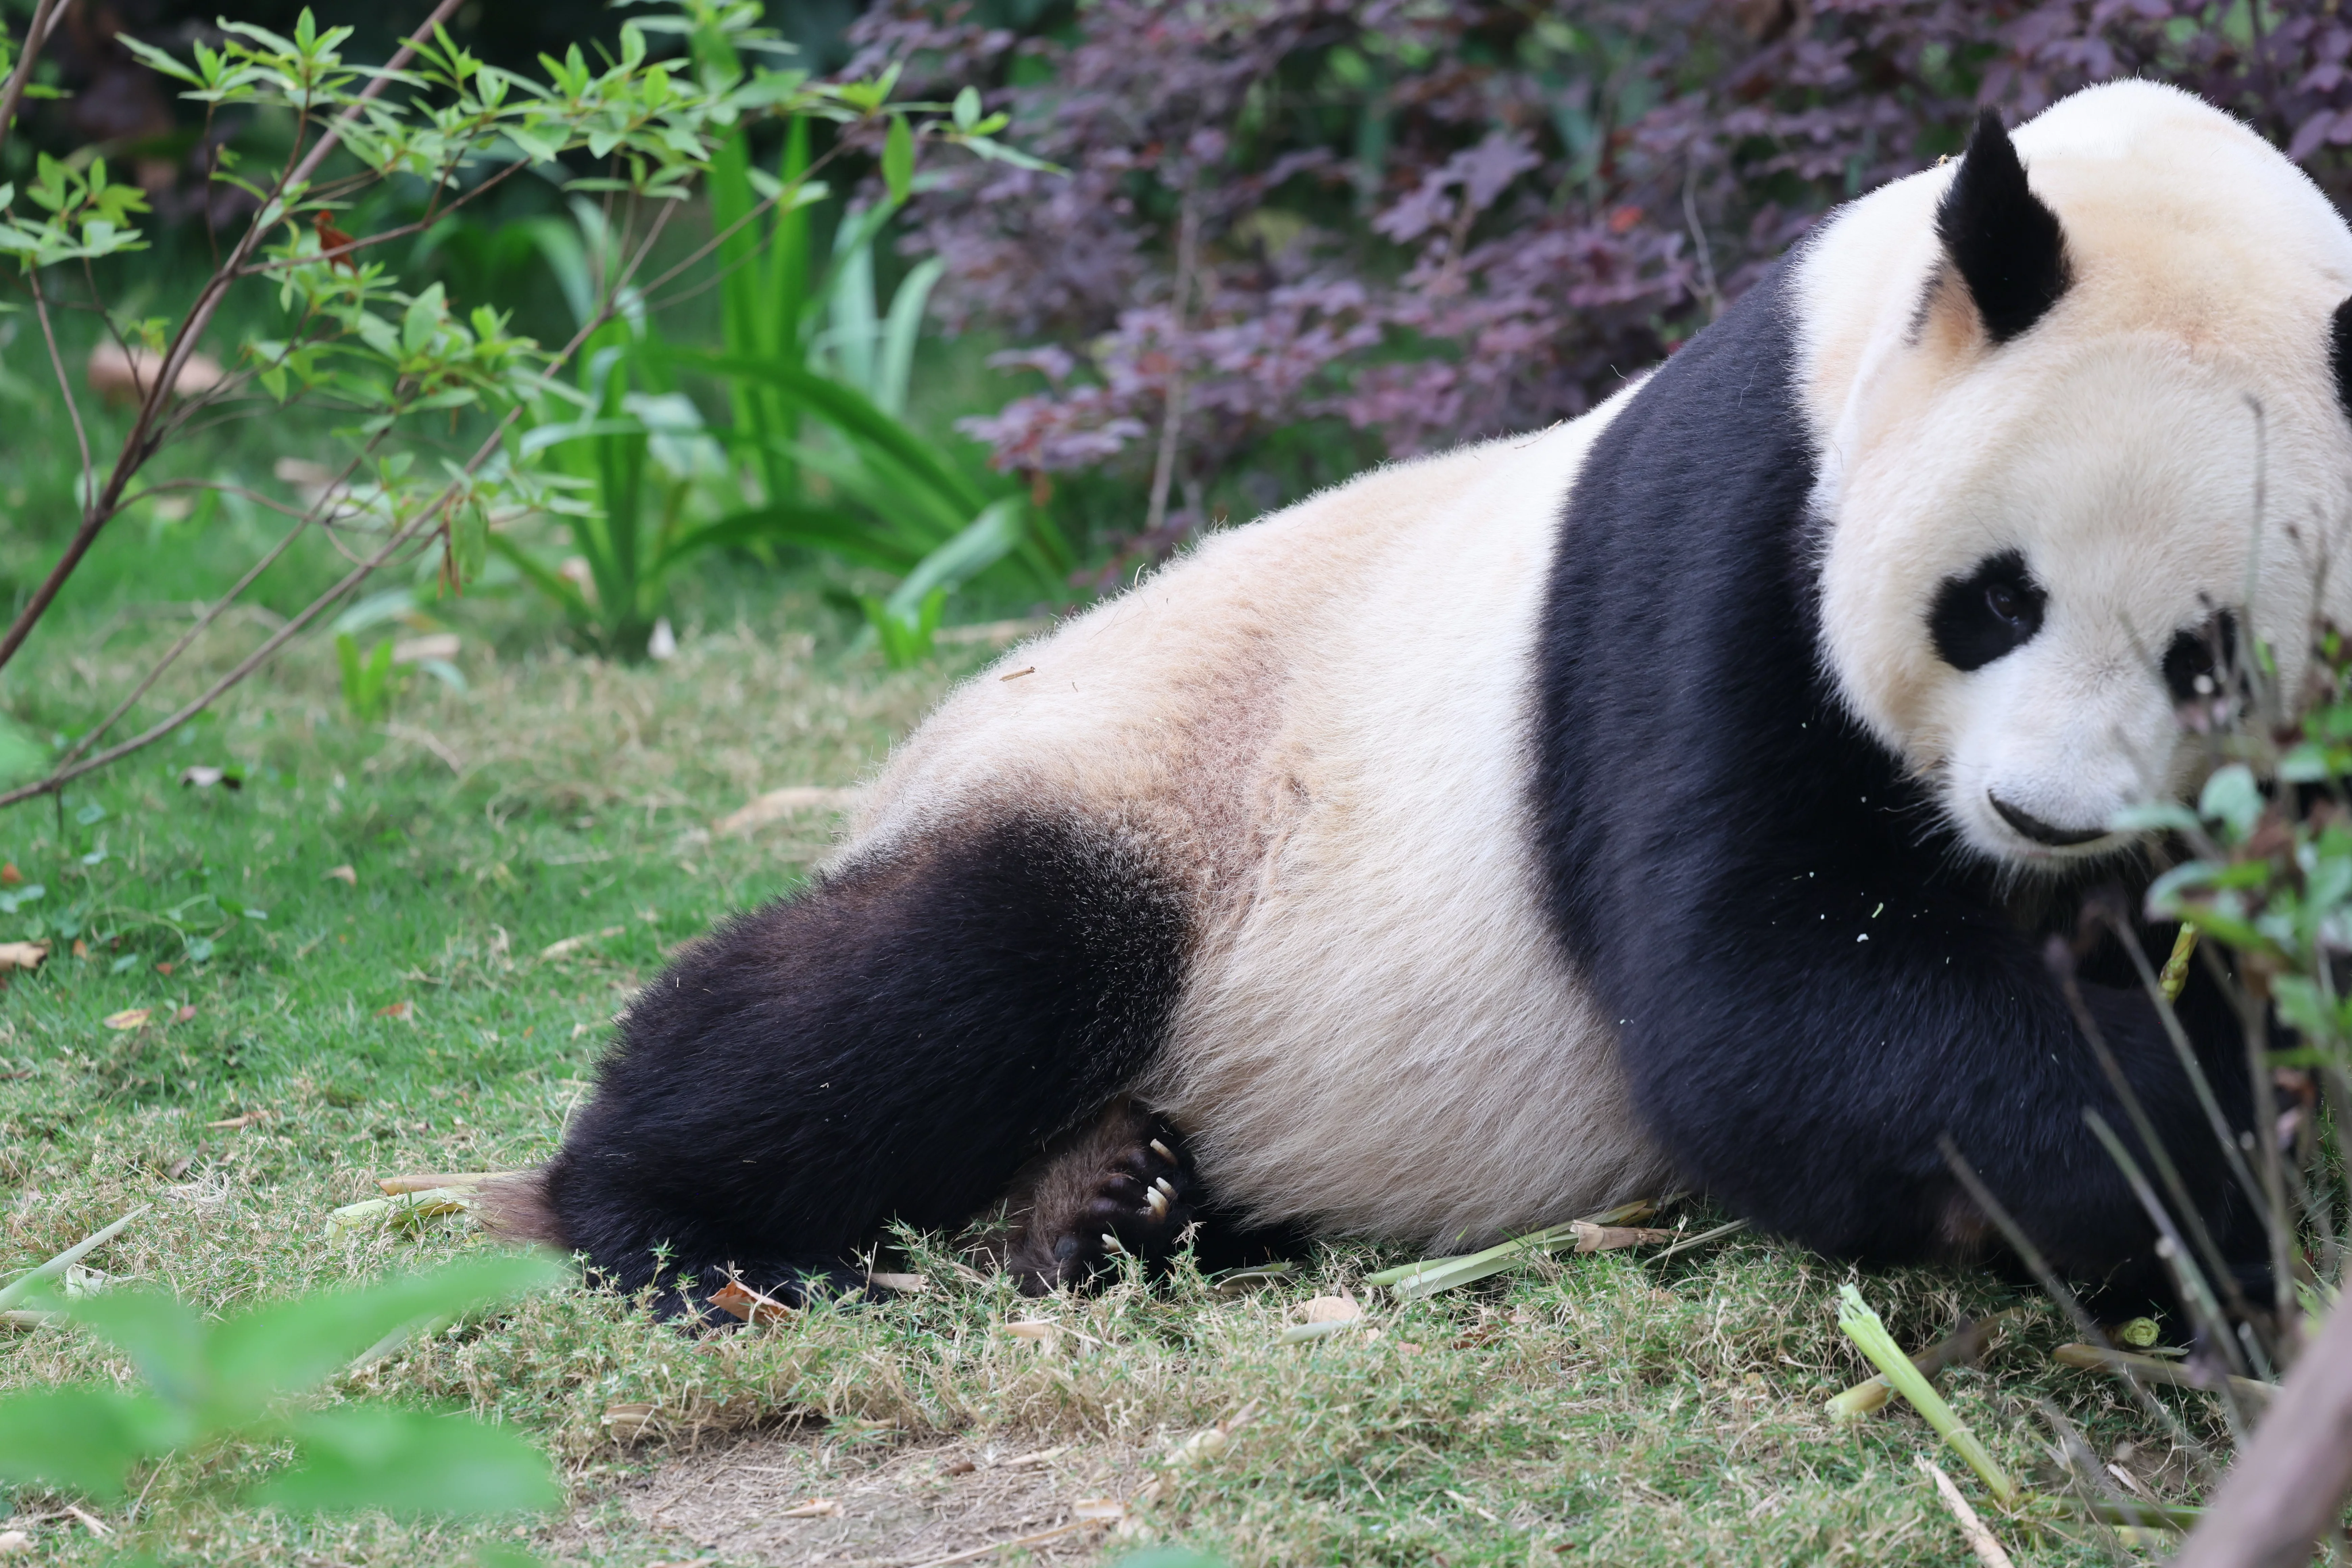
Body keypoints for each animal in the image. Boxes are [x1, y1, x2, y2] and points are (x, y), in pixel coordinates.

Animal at [492, 81, 2352, 1316]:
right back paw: (694, 1233)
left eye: (2206, 655)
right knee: (951, 971)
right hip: (1139, 785)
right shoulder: (1735, 537)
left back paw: (1118, 1200)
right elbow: (1767, 993)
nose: (2043, 816)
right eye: (1992, 601)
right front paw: (2207, 1148)